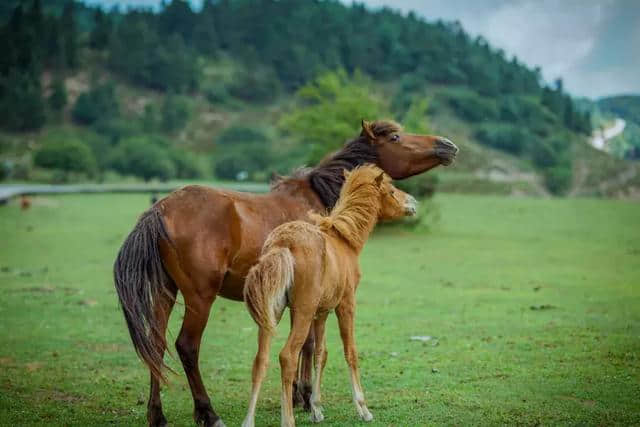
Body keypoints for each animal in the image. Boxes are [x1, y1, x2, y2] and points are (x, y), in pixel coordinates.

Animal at [242, 166, 418, 427]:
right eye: (391, 191)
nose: (413, 203)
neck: (344, 240)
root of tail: (282, 244)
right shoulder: (345, 305)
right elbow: (350, 351)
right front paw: (363, 408)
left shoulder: (321, 312)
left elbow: (320, 354)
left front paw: (316, 408)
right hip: (302, 313)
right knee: (287, 356)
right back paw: (288, 420)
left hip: (274, 313)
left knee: (260, 360)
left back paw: (249, 420)